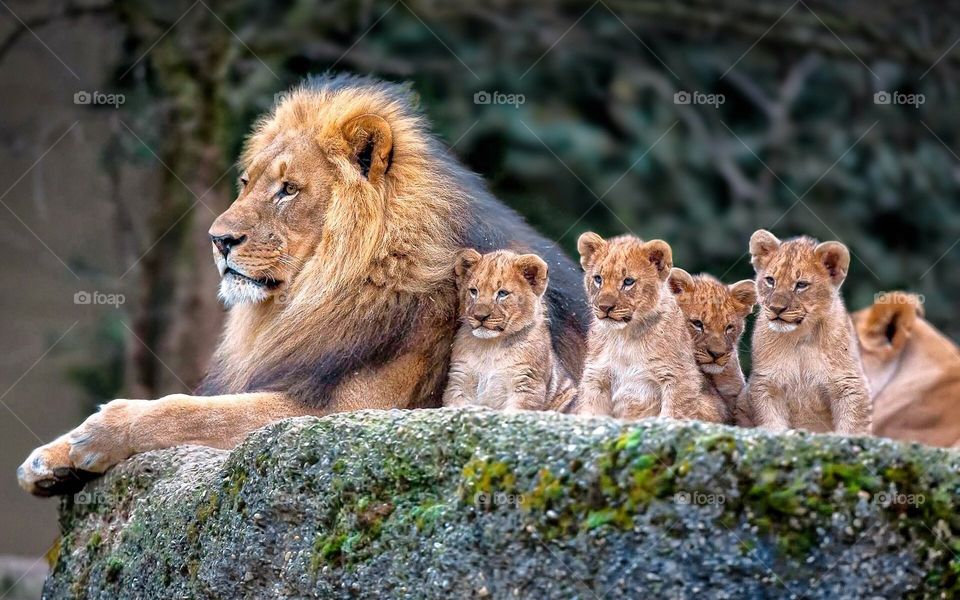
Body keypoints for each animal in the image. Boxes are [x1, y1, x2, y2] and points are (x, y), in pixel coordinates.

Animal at [442, 249, 577, 412]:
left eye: (502, 293)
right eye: (473, 291)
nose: (480, 316)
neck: (490, 347)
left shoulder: (526, 385)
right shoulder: (459, 381)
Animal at [574, 233, 725, 422]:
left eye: (628, 281)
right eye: (598, 279)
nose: (604, 307)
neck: (624, 337)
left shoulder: (679, 377)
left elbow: (673, 414)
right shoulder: (596, 377)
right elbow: (591, 411)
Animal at [743, 230, 870, 435]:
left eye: (801, 285)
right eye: (770, 280)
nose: (776, 308)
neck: (800, 337)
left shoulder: (849, 383)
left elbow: (852, 426)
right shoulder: (766, 382)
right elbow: (772, 421)